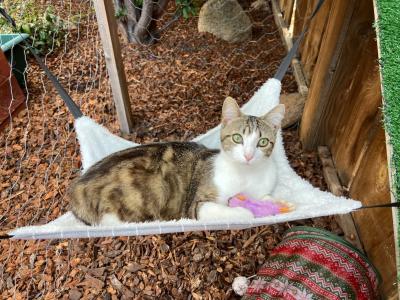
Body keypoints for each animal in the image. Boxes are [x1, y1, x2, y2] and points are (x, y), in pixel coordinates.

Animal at [70, 97, 286, 226]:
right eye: (237, 138)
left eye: (262, 142)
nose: (248, 155)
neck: (246, 174)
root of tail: (77, 188)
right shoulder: (196, 205)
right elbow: (232, 210)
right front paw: (248, 212)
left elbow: (266, 197)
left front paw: (275, 203)